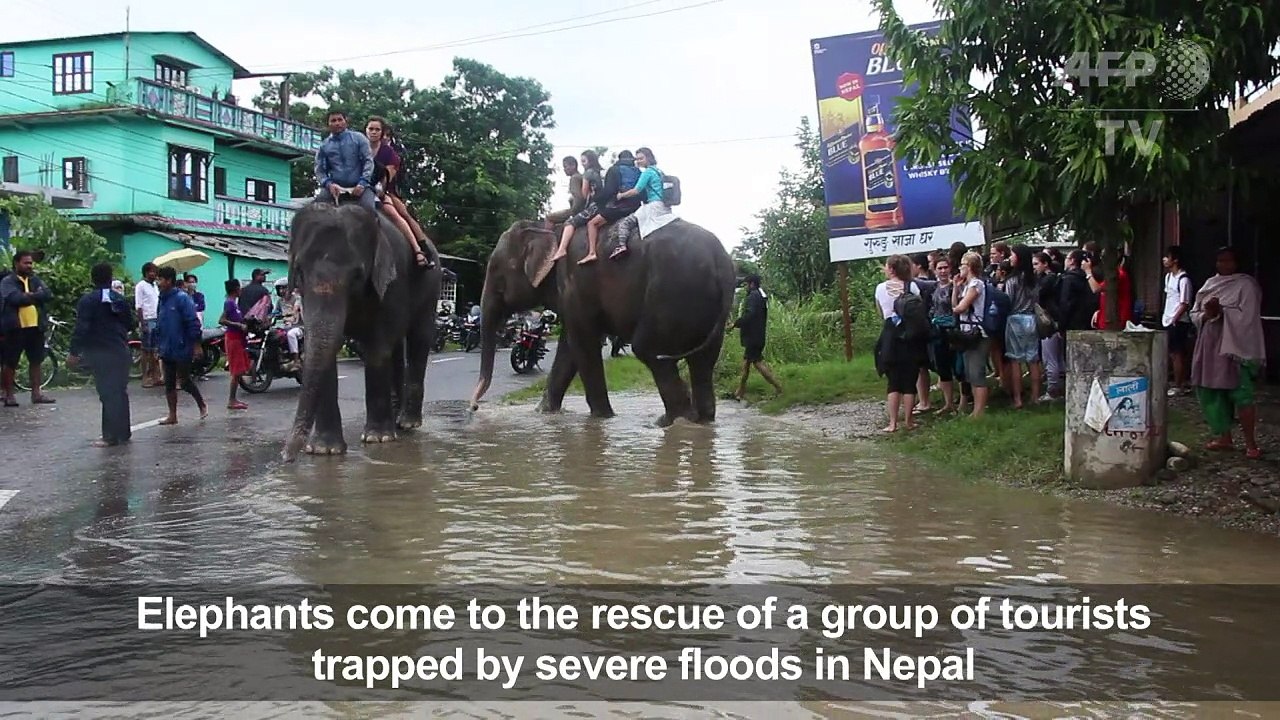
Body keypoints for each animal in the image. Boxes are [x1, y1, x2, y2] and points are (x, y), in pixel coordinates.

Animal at [281, 202, 442, 462]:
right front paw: (323, 450)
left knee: (418, 339)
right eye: (300, 272)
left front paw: (378, 439)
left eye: (357, 275)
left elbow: (377, 348)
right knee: (396, 348)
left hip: (431, 285)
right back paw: (396, 417)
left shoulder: (393, 281)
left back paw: (407, 423)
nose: (286, 457)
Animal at [469, 217, 736, 426]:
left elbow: (583, 343)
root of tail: (722, 262)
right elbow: (569, 349)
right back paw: (700, 420)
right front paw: (543, 413)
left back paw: (670, 422)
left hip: (671, 295)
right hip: (704, 311)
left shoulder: (575, 281)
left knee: (648, 351)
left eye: (496, 270)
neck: (549, 228)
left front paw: (602, 418)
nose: (473, 407)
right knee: (702, 362)